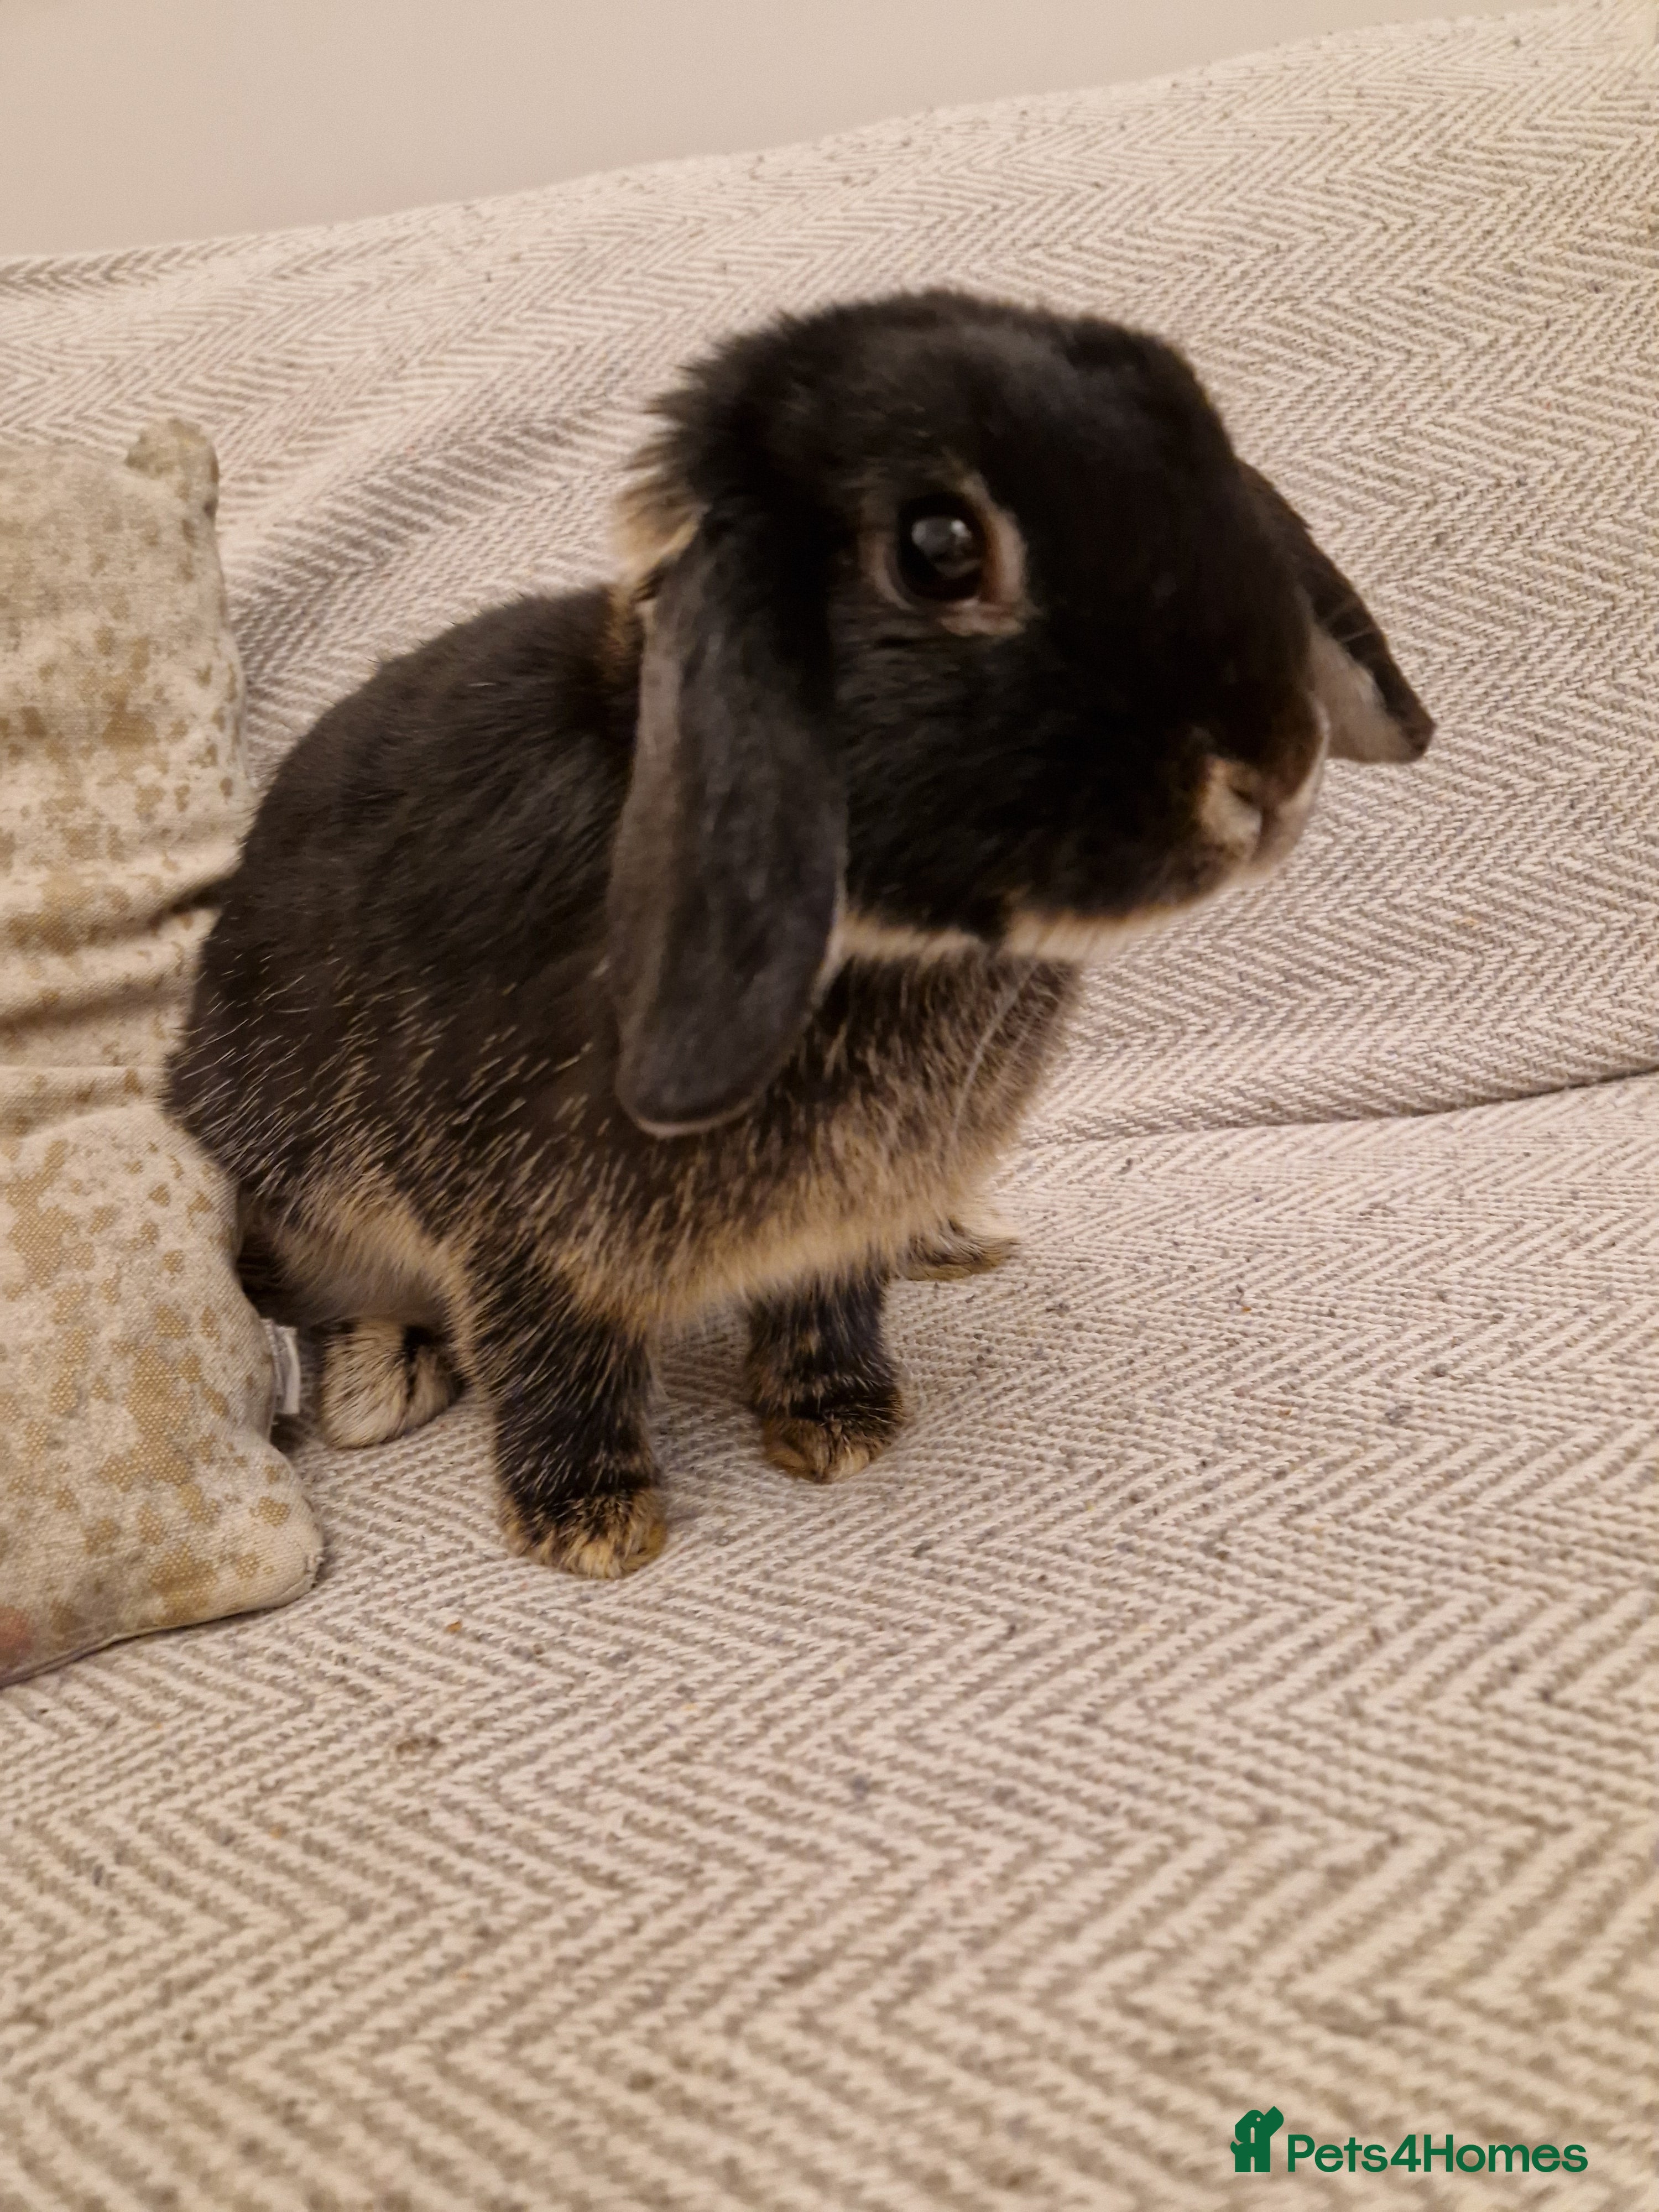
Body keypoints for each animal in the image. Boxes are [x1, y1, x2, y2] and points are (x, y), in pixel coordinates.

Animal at [167, 290, 1433, 1577]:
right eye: (939, 549)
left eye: (1210, 460)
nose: (1275, 769)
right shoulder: (527, 1231)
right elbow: (554, 1356)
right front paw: (591, 1523)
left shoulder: (834, 1226)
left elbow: (826, 1305)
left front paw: (841, 1425)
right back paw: (383, 1382)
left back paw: (957, 1234)